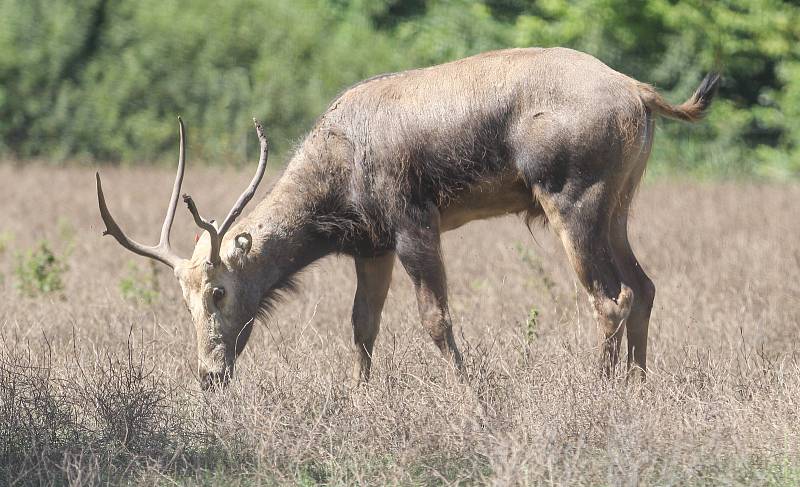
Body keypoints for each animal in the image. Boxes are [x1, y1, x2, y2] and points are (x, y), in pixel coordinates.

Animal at [95, 45, 720, 388]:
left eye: (218, 290)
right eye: (182, 299)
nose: (209, 374)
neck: (335, 184)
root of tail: (641, 93)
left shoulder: (413, 223)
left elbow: (435, 320)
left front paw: (473, 395)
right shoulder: (371, 246)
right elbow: (362, 325)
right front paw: (359, 398)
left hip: (573, 198)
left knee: (610, 296)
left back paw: (601, 392)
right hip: (619, 205)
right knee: (645, 286)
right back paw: (638, 388)